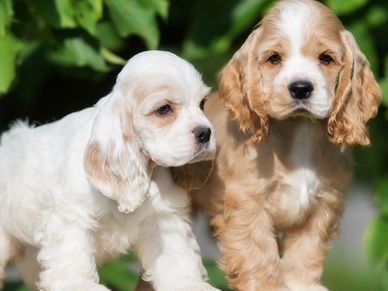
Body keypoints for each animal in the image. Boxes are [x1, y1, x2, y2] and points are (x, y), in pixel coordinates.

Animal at [0, 50, 218, 291]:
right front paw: (80, 284)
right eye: (163, 109)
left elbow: (177, 257)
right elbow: (72, 256)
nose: (205, 133)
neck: (146, 169)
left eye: (202, 104)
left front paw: (190, 284)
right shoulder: (71, 218)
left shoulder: (164, 218)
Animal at [184, 0, 378, 291]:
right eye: (274, 58)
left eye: (326, 58)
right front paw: (267, 286)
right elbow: (258, 253)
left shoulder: (324, 204)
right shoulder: (247, 203)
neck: (299, 131)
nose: (300, 88)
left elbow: (307, 251)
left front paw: (303, 284)